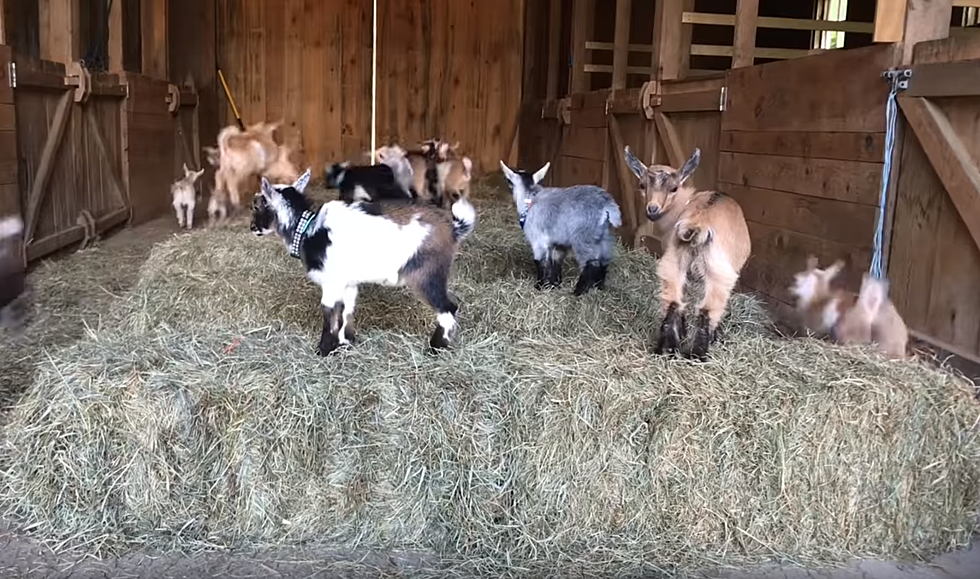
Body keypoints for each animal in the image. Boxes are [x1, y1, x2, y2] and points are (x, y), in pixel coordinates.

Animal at [251, 169, 476, 358]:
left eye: (257, 205)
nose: (252, 227)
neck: (307, 230)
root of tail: (454, 229)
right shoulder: (348, 284)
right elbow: (347, 311)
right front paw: (345, 343)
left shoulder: (331, 283)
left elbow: (330, 314)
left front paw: (324, 350)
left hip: (427, 274)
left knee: (447, 308)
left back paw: (435, 348)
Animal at [506, 160, 620, 294]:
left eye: (509, 181)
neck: (529, 199)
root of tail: (606, 203)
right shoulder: (559, 242)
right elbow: (556, 261)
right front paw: (555, 284)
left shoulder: (538, 240)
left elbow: (540, 262)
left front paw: (539, 286)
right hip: (603, 236)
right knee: (604, 260)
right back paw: (599, 286)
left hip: (583, 237)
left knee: (591, 263)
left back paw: (579, 291)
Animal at [624, 146, 756, 362]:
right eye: (642, 185)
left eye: (673, 188)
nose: (652, 210)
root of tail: (697, 224)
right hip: (719, 273)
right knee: (708, 309)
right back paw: (698, 354)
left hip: (672, 263)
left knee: (673, 302)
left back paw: (667, 349)